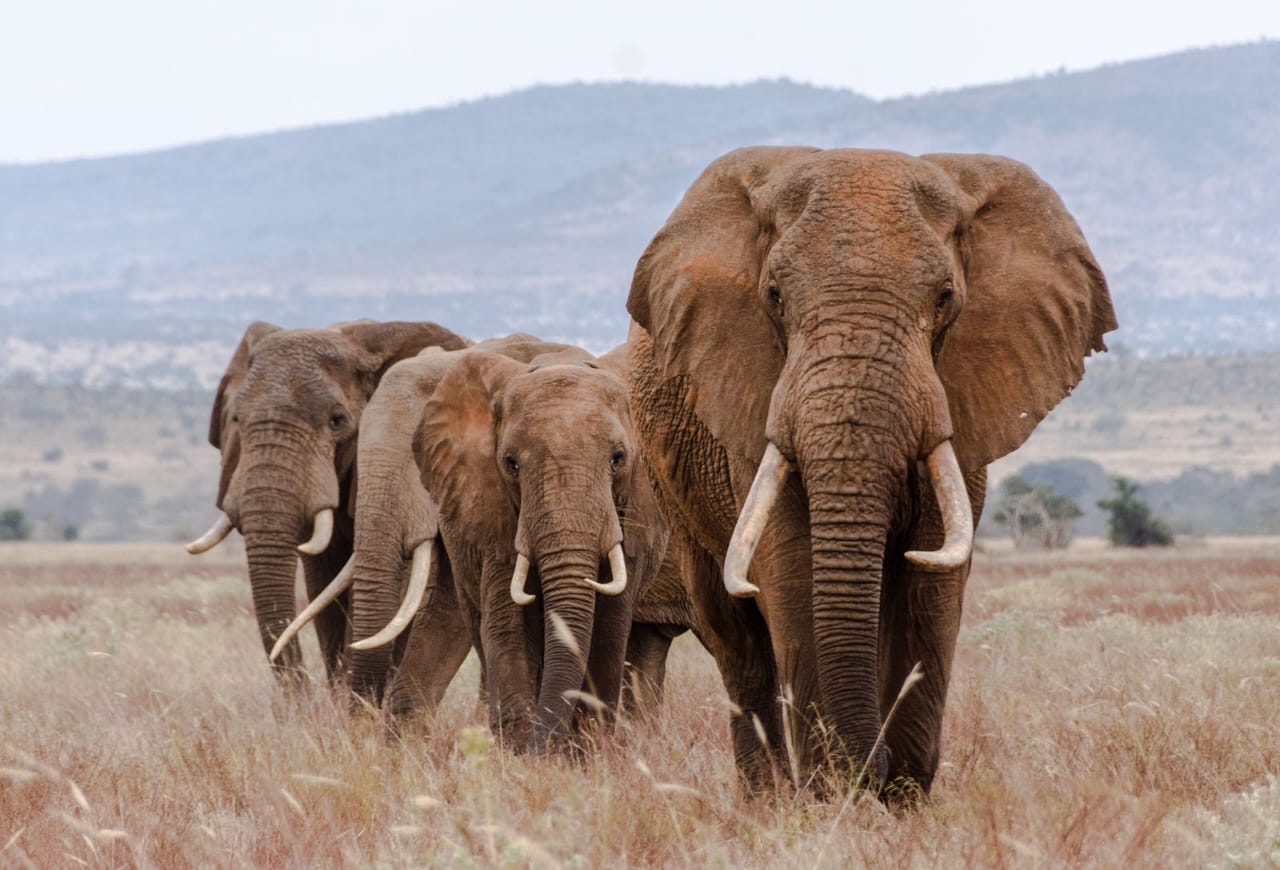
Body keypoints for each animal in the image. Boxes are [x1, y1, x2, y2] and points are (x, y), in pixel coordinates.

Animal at [624, 144, 1116, 793]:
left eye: (945, 298)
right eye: (774, 296)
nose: (870, 771)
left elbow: (930, 587)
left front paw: (900, 797)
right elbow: (793, 574)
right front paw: (837, 794)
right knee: (737, 641)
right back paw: (770, 798)